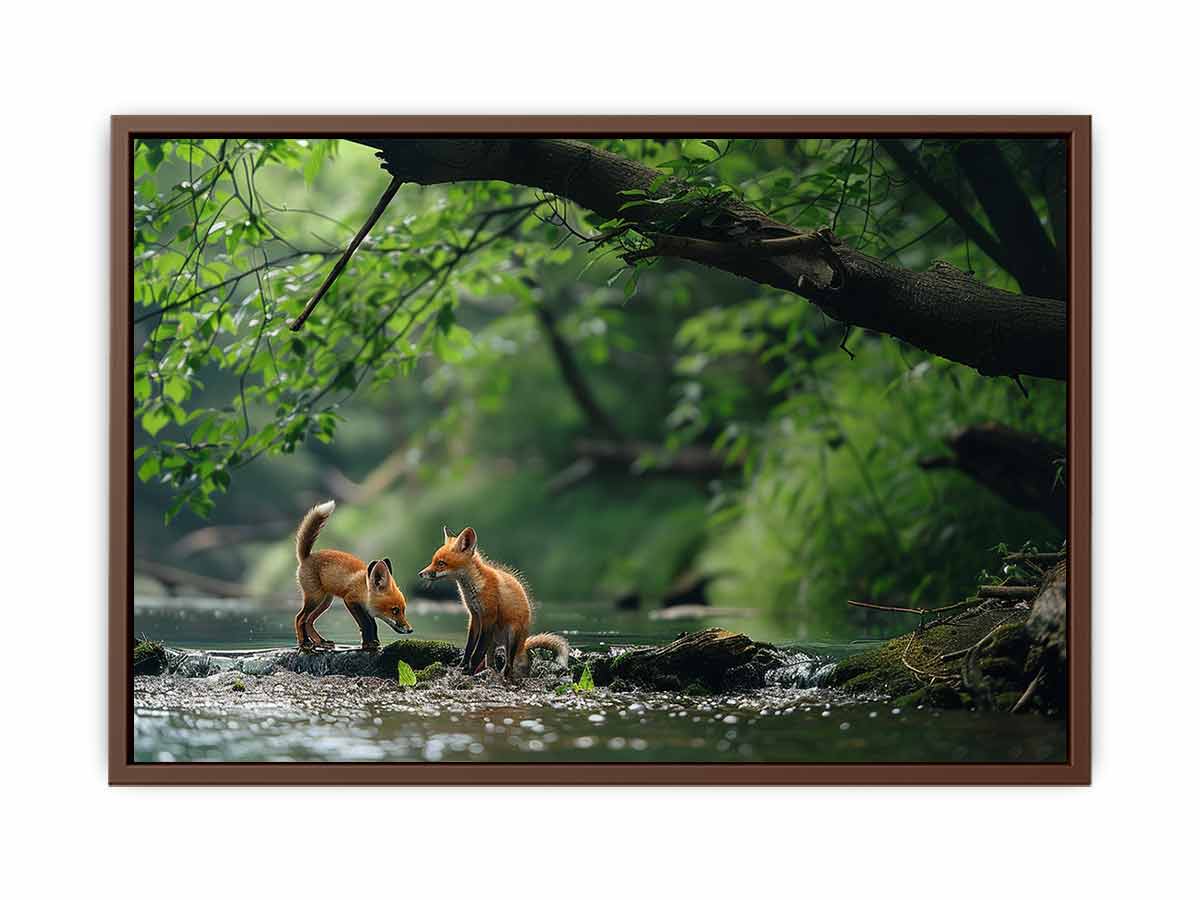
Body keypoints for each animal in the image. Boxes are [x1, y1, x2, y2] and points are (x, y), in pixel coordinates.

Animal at [293, 500, 413, 651]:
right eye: (395, 610)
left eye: (403, 610)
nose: (410, 630)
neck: (363, 588)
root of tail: (307, 557)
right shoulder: (350, 600)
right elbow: (366, 624)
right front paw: (369, 644)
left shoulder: (365, 608)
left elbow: (372, 625)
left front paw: (373, 643)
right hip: (315, 598)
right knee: (300, 618)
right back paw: (305, 643)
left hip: (325, 602)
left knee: (309, 621)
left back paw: (321, 642)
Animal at [418, 525, 569, 679]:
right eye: (433, 561)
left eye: (441, 563)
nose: (420, 574)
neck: (475, 587)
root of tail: (523, 643)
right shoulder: (475, 617)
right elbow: (469, 649)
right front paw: (462, 666)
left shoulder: (488, 617)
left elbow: (477, 653)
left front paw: (468, 672)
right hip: (493, 642)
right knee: (491, 663)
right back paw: (486, 671)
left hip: (511, 634)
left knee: (508, 665)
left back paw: (502, 675)